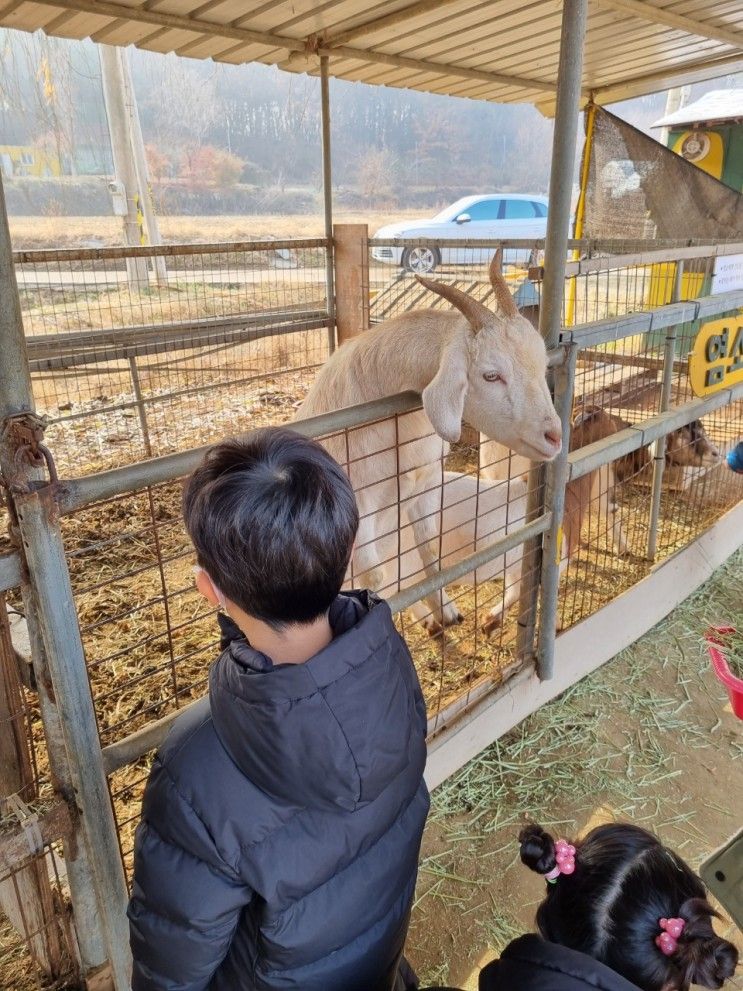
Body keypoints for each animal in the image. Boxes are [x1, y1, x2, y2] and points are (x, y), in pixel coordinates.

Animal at [294, 252, 560, 632]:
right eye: (491, 375)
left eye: (542, 364)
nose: (554, 436)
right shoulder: (358, 509)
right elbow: (375, 578)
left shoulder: (426, 482)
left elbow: (430, 548)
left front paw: (444, 609)